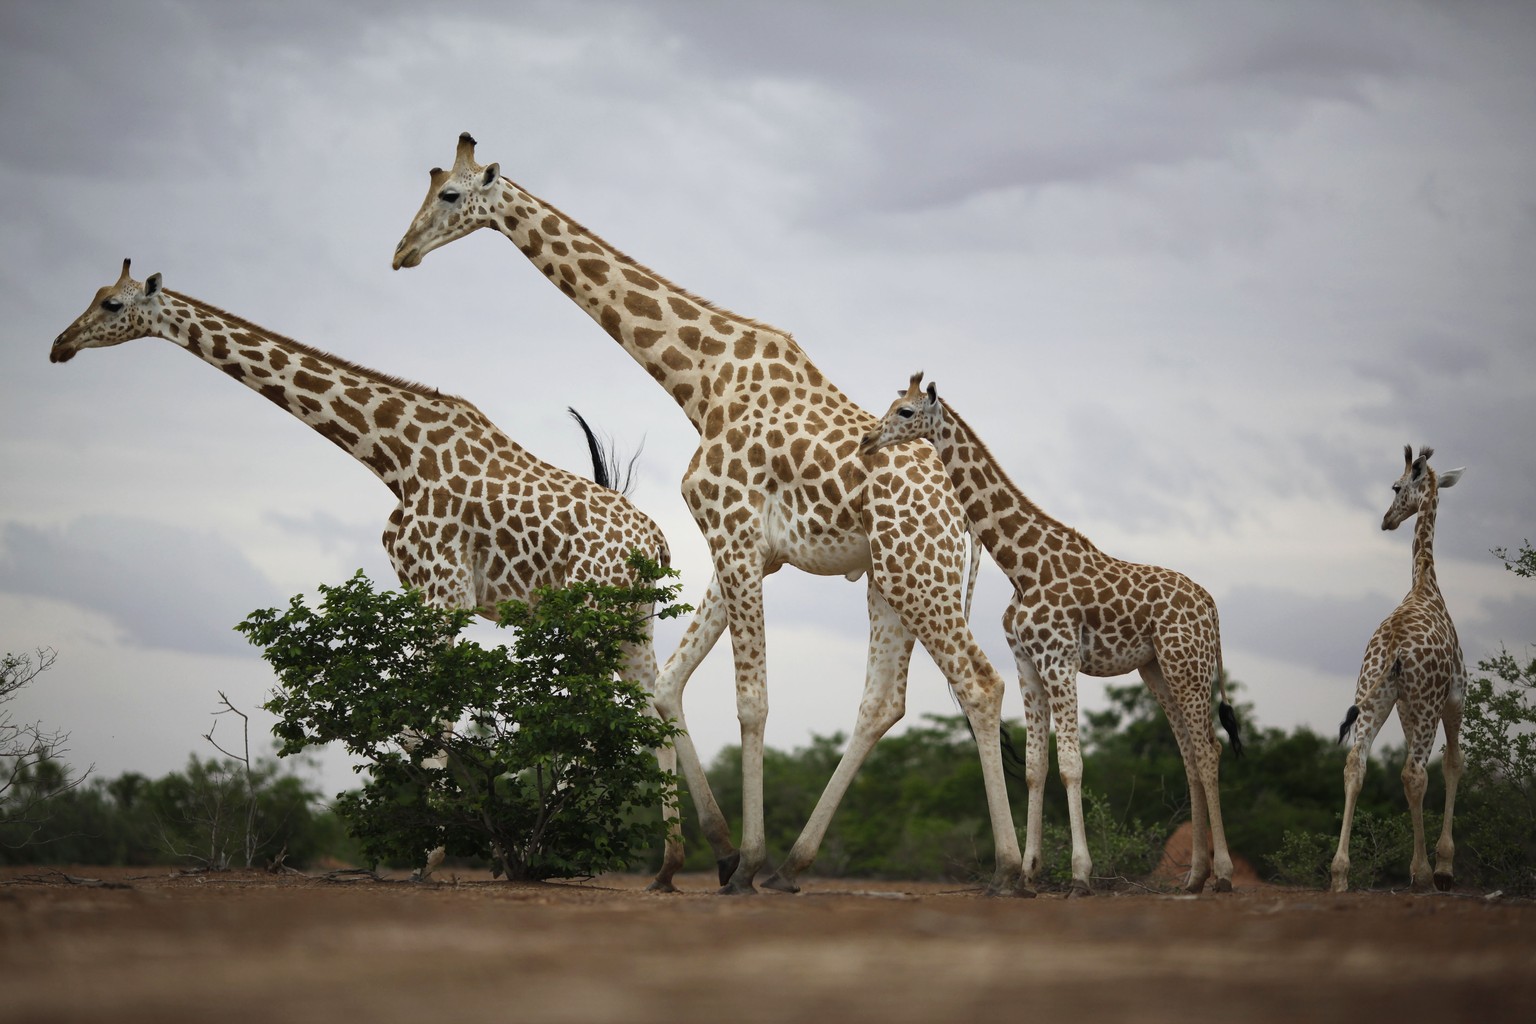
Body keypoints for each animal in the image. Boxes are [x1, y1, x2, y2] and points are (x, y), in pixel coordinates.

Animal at [43, 260, 724, 890]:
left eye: (111, 304)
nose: (59, 345)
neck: (394, 455)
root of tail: (657, 545)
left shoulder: (443, 591)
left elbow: (431, 719)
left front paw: (432, 857)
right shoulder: (427, 593)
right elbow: (423, 720)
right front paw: (449, 848)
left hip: (592, 618)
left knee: (622, 713)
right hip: (630, 620)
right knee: (658, 704)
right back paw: (676, 863)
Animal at [393, 132, 1032, 890]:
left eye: (450, 193)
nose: (402, 252)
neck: (700, 381)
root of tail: (963, 512)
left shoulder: (731, 528)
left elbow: (749, 699)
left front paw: (744, 861)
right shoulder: (755, 548)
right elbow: (670, 686)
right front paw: (719, 859)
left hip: (918, 572)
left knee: (979, 682)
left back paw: (1008, 869)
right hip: (891, 576)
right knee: (884, 700)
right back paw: (796, 863)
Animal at [866, 373, 1247, 890]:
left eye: (905, 412)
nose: (867, 440)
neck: (1021, 567)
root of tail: (1211, 608)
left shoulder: (1060, 659)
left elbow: (1071, 765)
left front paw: (1080, 875)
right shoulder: (1027, 662)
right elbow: (1034, 767)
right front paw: (1029, 872)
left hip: (1188, 663)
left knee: (1209, 751)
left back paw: (1222, 874)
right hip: (1158, 669)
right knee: (1190, 754)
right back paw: (1192, 877)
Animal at [1327, 445, 1468, 890]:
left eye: (1394, 486)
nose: (1387, 519)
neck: (1425, 583)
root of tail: (1391, 649)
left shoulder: (1405, 705)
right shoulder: (1454, 697)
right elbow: (1454, 763)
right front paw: (1444, 865)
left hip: (1373, 695)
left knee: (1356, 763)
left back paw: (1339, 874)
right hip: (1424, 704)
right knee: (1414, 772)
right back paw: (1422, 873)